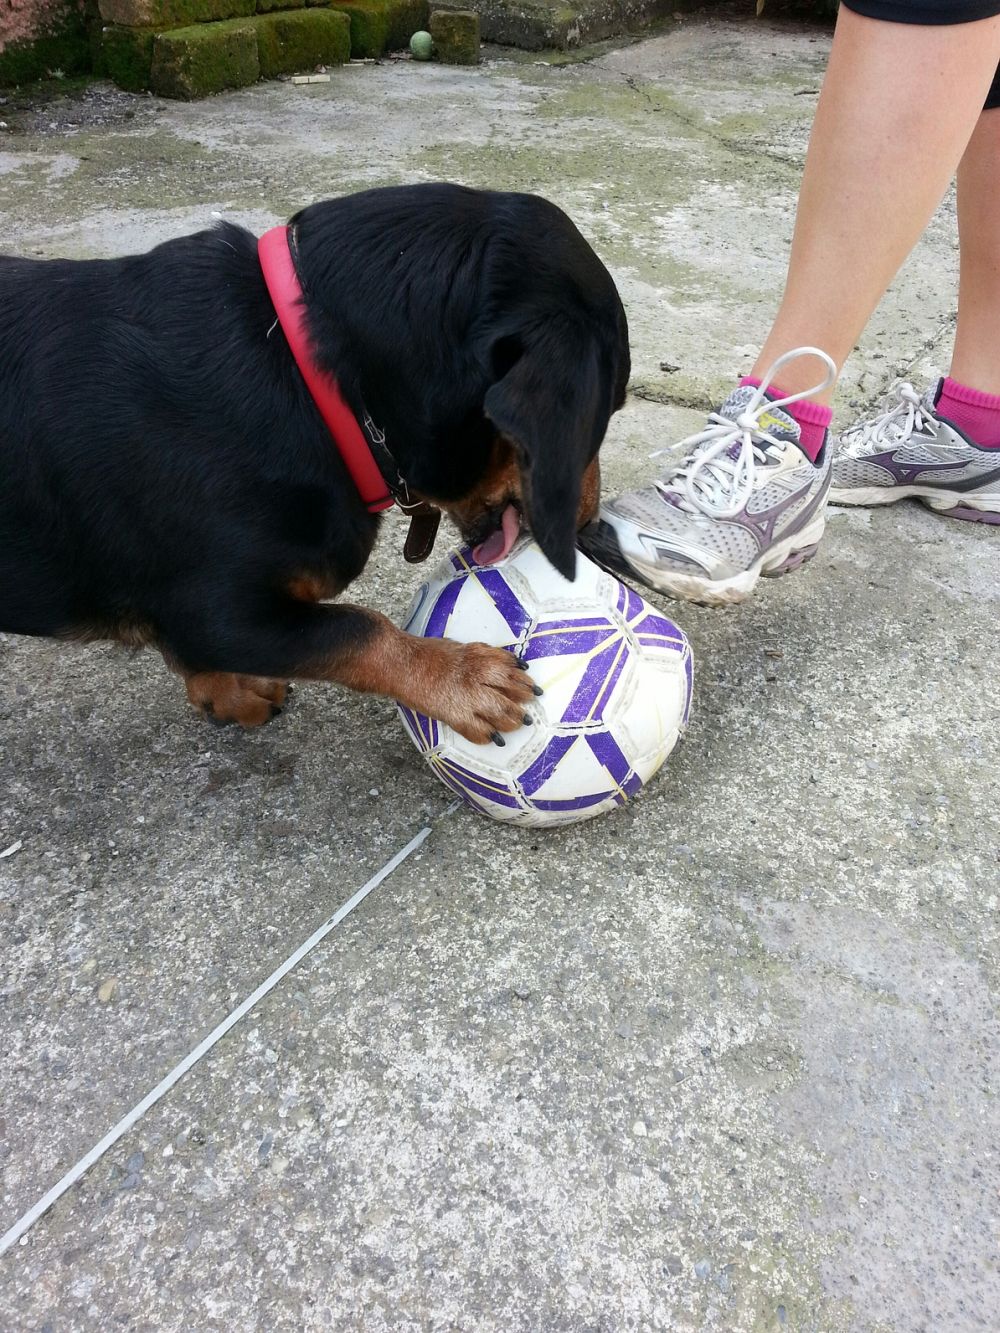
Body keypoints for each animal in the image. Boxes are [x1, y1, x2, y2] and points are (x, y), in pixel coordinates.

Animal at [0, 181, 629, 741]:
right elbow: (359, 629)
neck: (309, 377)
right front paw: (460, 678)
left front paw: (226, 691)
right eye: (609, 407)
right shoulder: (218, 608)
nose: (590, 529)